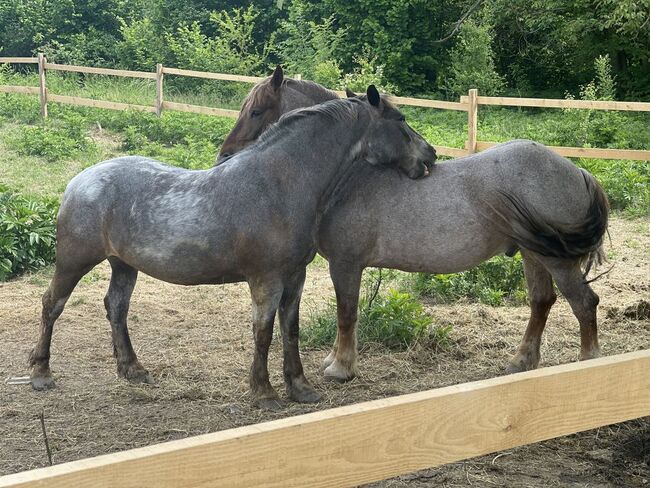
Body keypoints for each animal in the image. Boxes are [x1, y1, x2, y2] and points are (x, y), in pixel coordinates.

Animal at [29, 87, 436, 408]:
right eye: (401, 120)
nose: (429, 155)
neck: (278, 184)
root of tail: (79, 181)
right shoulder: (266, 280)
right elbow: (264, 332)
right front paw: (265, 393)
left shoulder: (295, 278)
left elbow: (290, 330)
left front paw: (301, 388)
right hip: (74, 262)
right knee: (52, 305)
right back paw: (41, 373)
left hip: (124, 265)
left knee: (116, 307)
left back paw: (133, 369)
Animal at [218, 66, 608, 384]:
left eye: (256, 111)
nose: (224, 157)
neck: (351, 177)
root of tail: (578, 171)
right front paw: (334, 360)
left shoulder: (346, 264)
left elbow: (347, 314)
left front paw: (341, 367)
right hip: (533, 253)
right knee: (542, 301)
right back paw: (521, 361)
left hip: (557, 260)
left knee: (584, 303)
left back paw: (588, 363)